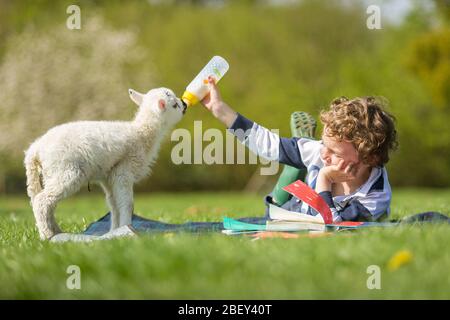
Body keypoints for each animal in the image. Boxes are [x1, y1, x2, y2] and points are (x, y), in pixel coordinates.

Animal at [23, 86, 185, 239]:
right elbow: (127, 204)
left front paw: (115, 230)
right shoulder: (124, 171)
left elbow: (114, 205)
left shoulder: (109, 177)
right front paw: (127, 228)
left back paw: (56, 231)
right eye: (175, 105)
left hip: (51, 174)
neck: (142, 133)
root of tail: (35, 148)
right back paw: (47, 235)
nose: (184, 104)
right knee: (42, 201)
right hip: (66, 171)